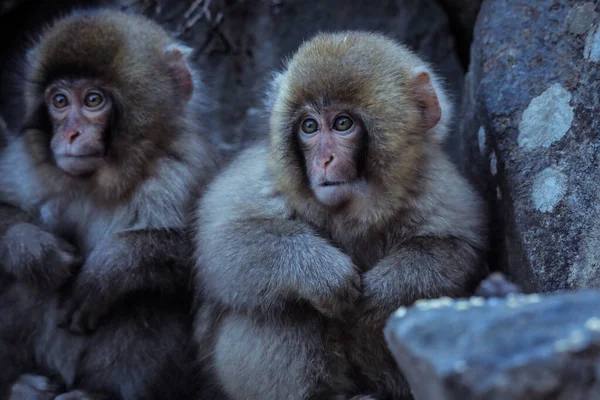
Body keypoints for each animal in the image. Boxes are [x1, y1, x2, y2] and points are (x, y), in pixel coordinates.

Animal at [0, 9, 220, 400]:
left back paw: (98, 392)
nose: (69, 134)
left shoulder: (184, 168)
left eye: (92, 100)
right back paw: (20, 384)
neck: (96, 182)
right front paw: (35, 250)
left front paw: (111, 268)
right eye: (59, 101)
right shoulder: (26, 161)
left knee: (149, 296)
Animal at [195, 32, 490, 400]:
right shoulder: (266, 175)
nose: (323, 160)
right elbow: (222, 242)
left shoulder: (433, 182)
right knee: (278, 308)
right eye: (309, 126)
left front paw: (386, 289)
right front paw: (319, 271)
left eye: (342, 124)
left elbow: (458, 250)